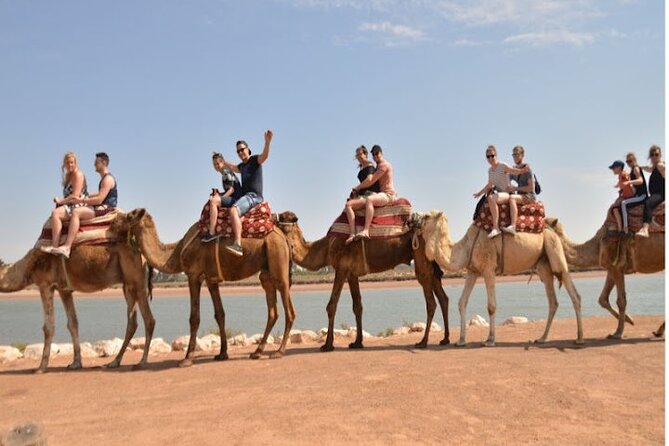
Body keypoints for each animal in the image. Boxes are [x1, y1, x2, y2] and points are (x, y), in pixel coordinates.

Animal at [0, 239, 154, 373]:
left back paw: (142, 362)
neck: (28, 267)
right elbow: (73, 323)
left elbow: (48, 327)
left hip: (137, 281)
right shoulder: (64, 290)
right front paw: (75, 363)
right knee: (133, 321)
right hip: (127, 285)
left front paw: (40, 368)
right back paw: (114, 362)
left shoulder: (45, 284)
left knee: (149, 319)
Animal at [114, 208, 294, 366]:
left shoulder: (193, 275)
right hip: (266, 270)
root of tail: (282, 237)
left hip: (278, 259)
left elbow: (194, 318)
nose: (114, 224)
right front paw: (222, 354)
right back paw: (257, 351)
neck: (176, 252)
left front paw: (187, 359)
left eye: (129, 216)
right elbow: (220, 314)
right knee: (272, 310)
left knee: (289, 308)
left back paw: (279, 351)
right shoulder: (211, 280)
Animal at [276, 211, 450, 351]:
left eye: (283, 217)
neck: (326, 248)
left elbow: (332, 305)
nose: (272, 219)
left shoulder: (342, 268)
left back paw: (423, 341)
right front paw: (357, 342)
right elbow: (357, 306)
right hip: (430, 260)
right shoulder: (352, 274)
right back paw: (445, 339)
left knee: (431, 301)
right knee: (443, 297)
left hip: (420, 255)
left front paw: (327, 345)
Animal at [414, 210, 584, 347]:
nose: (411, 219)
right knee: (553, 301)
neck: (466, 247)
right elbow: (462, 303)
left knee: (573, 292)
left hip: (554, 249)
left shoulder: (488, 269)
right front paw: (461, 340)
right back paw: (542, 338)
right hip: (543, 265)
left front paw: (490, 340)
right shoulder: (472, 271)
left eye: (427, 215)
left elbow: (491, 306)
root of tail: (552, 229)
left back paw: (579, 338)